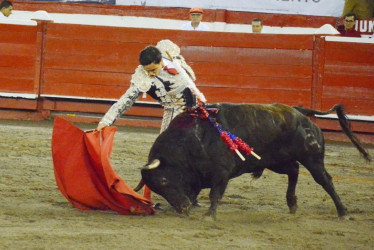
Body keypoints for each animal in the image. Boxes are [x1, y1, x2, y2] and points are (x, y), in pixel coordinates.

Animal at [138, 102, 372, 218]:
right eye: (157, 188)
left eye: (164, 181)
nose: (183, 208)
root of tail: (300, 112)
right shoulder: (197, 175)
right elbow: (195, 191)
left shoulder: (221, 172)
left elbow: (215, 194)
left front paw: (209, 215)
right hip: (275, 161)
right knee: (294, 170)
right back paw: (292, 203)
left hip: (312, 158)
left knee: (325, 180)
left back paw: (342, 212)